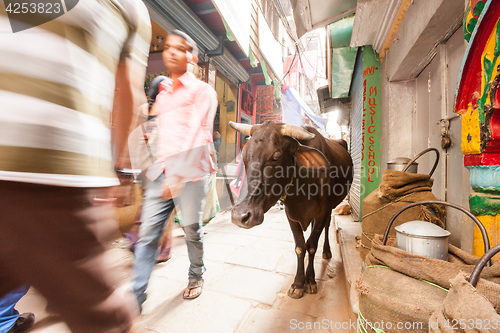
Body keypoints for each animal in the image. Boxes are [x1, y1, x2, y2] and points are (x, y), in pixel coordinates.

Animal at [229, 120, 354, 296]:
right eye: (245, 156)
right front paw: (298, 283)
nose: (240, 216)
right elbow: (300, 247)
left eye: (275, 157)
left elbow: (312, 245)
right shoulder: (291, 216)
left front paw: (311, 280)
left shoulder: (322, 213)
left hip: (329, 210)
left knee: (327, 227)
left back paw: (327, 251)